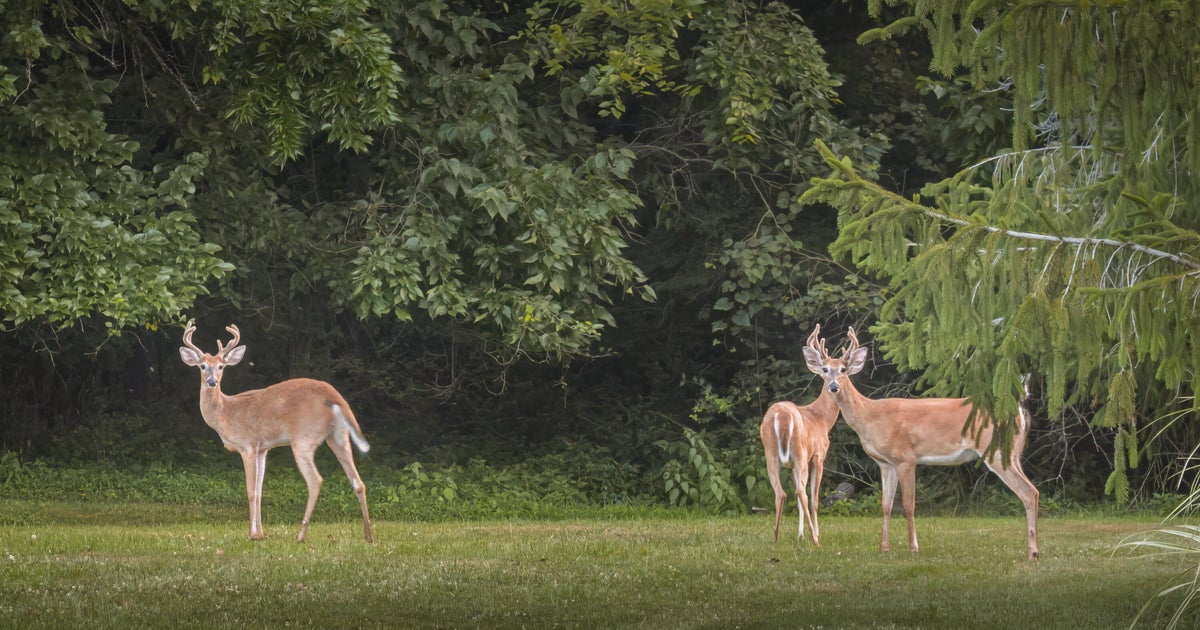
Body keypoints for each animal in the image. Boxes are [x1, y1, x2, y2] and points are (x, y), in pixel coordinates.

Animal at [179, 324, 373, 543]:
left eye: (221, 366)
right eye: (202, 366)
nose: (212, 381)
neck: (225, 412)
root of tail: (335, 396)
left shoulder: (248, 445)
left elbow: (251, 490)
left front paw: (252, 534)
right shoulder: (263, 449)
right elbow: (260, 491)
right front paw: (261, 533)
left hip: (304, 437)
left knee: (315, 480)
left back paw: (300, 535)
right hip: (338, 435)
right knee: (358, 482)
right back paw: (368, 535)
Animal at [760, 324, 840, 544]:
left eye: (843, 369)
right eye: (825, 369)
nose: (835, 386)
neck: (821, 419)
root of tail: (782, 415)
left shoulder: (791, 466)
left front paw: (800, 534)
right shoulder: (819, 455)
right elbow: (814, 499)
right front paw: (814, 533)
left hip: (771, 453)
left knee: (782, 493)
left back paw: (776, 537)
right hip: (800, 454)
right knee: (802, 493)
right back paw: (815, 540)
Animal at [803, 327, 1039, 560]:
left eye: (843, 369)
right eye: (825, 369)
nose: (834, 387)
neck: (871, 417)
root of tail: (1019, 410)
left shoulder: (906, 457)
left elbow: (908, 504)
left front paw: (913, 547)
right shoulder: (886, 463)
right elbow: (886, 505)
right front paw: (884, 548)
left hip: (996, 451)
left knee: (1029, 492)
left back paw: (1033, 553)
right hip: (1012, 453)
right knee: (1033, 491)